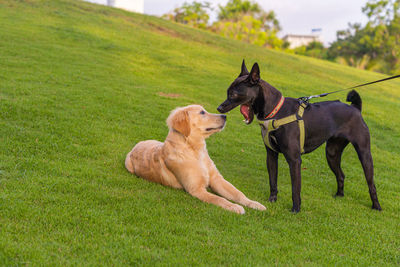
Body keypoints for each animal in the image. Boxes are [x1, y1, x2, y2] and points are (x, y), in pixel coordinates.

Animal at [125, 105, 266, 216]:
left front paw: (254, 203)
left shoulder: (217, 179)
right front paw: (234, 206)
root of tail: (136, 145)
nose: (225, 116)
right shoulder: (196, 189)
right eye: (202, 112)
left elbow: (238, 193)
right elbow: (219, 199)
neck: (195, 151)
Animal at [217, 61, 382, 214]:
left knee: (371, 184)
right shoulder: (271, 155)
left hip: (364, 154)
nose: (219, 108)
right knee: (341, 175)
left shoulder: (294, 160)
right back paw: (339, 195)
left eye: (233, 94)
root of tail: (355, 108)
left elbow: (295, 188)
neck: (275, 111)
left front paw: (296, 209)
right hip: (332, 154)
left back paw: (376, 206)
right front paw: (272, 200)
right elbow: (273, 181)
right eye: (227, 92)